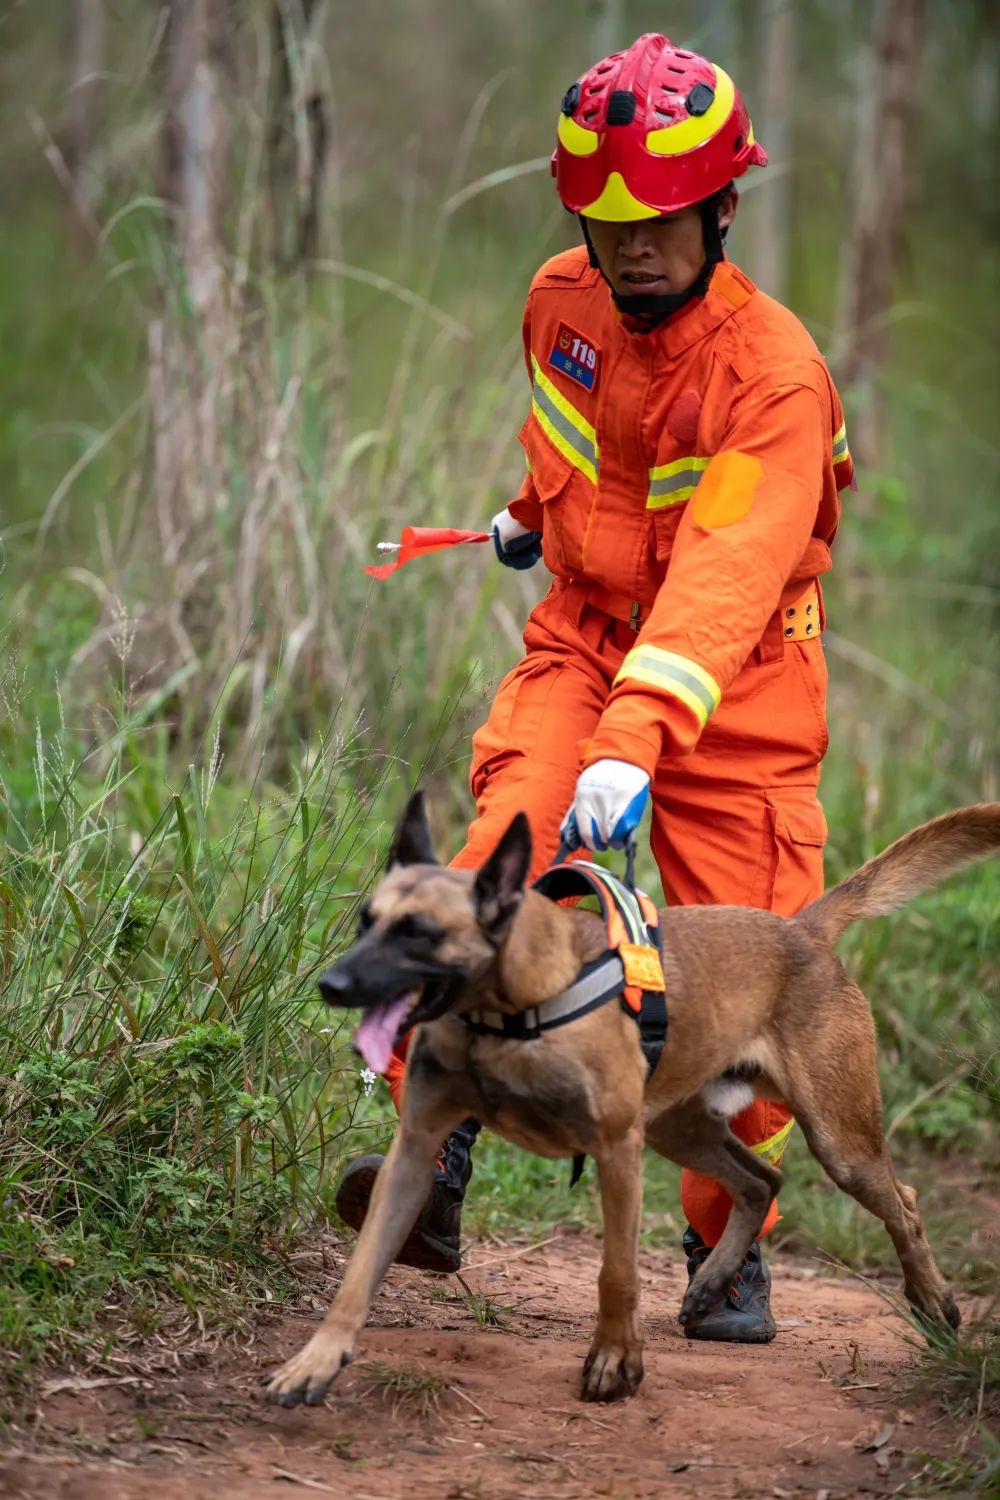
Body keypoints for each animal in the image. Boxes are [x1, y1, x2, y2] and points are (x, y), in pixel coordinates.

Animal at [265, 798, 1000, 1404]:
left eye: (417, 932)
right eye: (367, 922)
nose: (331, 985)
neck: (508, 1015)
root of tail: (803, 932)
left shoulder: (617, 1148)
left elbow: (615, 1274)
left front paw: (615, 1365)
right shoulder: (415, 1153)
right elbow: (359, 1273)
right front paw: (315, 1363)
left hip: (836, 1141)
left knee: (901, 1204)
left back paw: (934, 1303)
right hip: (679, 1128)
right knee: (760, 1181)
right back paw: (713, 1282)